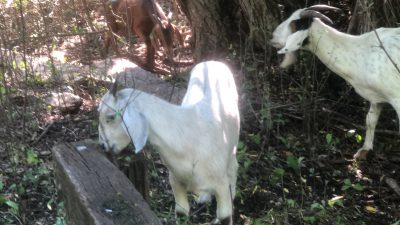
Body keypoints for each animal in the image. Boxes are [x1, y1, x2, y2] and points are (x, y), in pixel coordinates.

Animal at [98, 60, 239, 224]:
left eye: (110, 117)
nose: (102, 145)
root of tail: (212, 61)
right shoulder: (175, 179)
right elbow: (181, 212)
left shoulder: (220, 183)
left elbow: (224, 216)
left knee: (233, 168)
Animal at [268, 4, 400, 159]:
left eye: (294, 24)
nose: (272, 37)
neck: (363, 52)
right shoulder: (376, 97)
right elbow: (370, 121)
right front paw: (364, 150)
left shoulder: (396, 97)